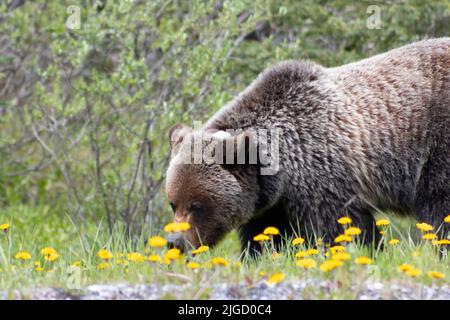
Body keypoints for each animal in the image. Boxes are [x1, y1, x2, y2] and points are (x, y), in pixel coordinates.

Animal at [165, 38, 450, 256]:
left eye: (197, 205)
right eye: (173, 203)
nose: (174, 243)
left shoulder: (323, 175)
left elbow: (339, 227)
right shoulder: (271, 202)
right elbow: (263, 236)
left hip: (436, 145)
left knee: (439, 204)